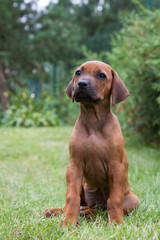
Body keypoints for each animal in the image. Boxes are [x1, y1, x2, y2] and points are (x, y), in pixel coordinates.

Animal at [43, 61, 139, 226]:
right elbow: (71, 197)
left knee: (103, 208)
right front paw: (68, 221)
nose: (82, 84)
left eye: (102, 75)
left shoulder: (117, 167)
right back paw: (58, 211)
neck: (94, 121)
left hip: (133, 199)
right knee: (81, 205)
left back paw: (88, 212)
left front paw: (117, 222)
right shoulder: (74, 166)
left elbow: (114, 199)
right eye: (78, 73)